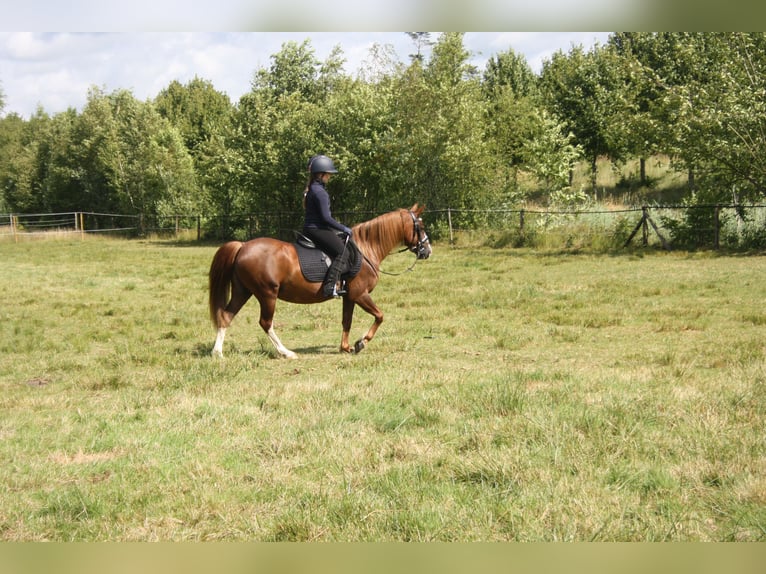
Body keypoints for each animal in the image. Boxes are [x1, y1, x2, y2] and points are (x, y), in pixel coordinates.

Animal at [207, 205, 432, 360]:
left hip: (243, 291)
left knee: (226, 316)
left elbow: (347, 321)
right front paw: (361, 343)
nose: (427, 250)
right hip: (267, 294)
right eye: (419, 226)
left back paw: (218, 353)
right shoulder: (360, 294)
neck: (366, 249)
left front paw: (345, 347)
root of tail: (243, 246)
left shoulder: (349, 297)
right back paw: (286, 352)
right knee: (265, 323)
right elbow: (379, 316)